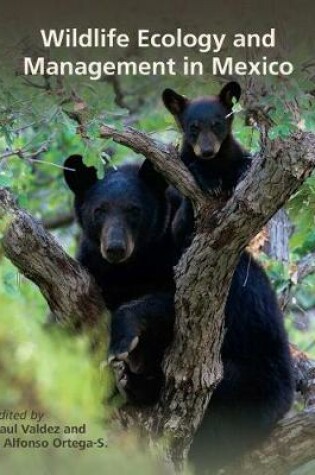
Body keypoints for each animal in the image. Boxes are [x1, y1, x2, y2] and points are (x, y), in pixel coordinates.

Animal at [63, 157, 178, 406]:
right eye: (99, 211)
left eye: (134, 210)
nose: (115, 248)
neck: (129, 266)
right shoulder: (93, 265)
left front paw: (121, 343)